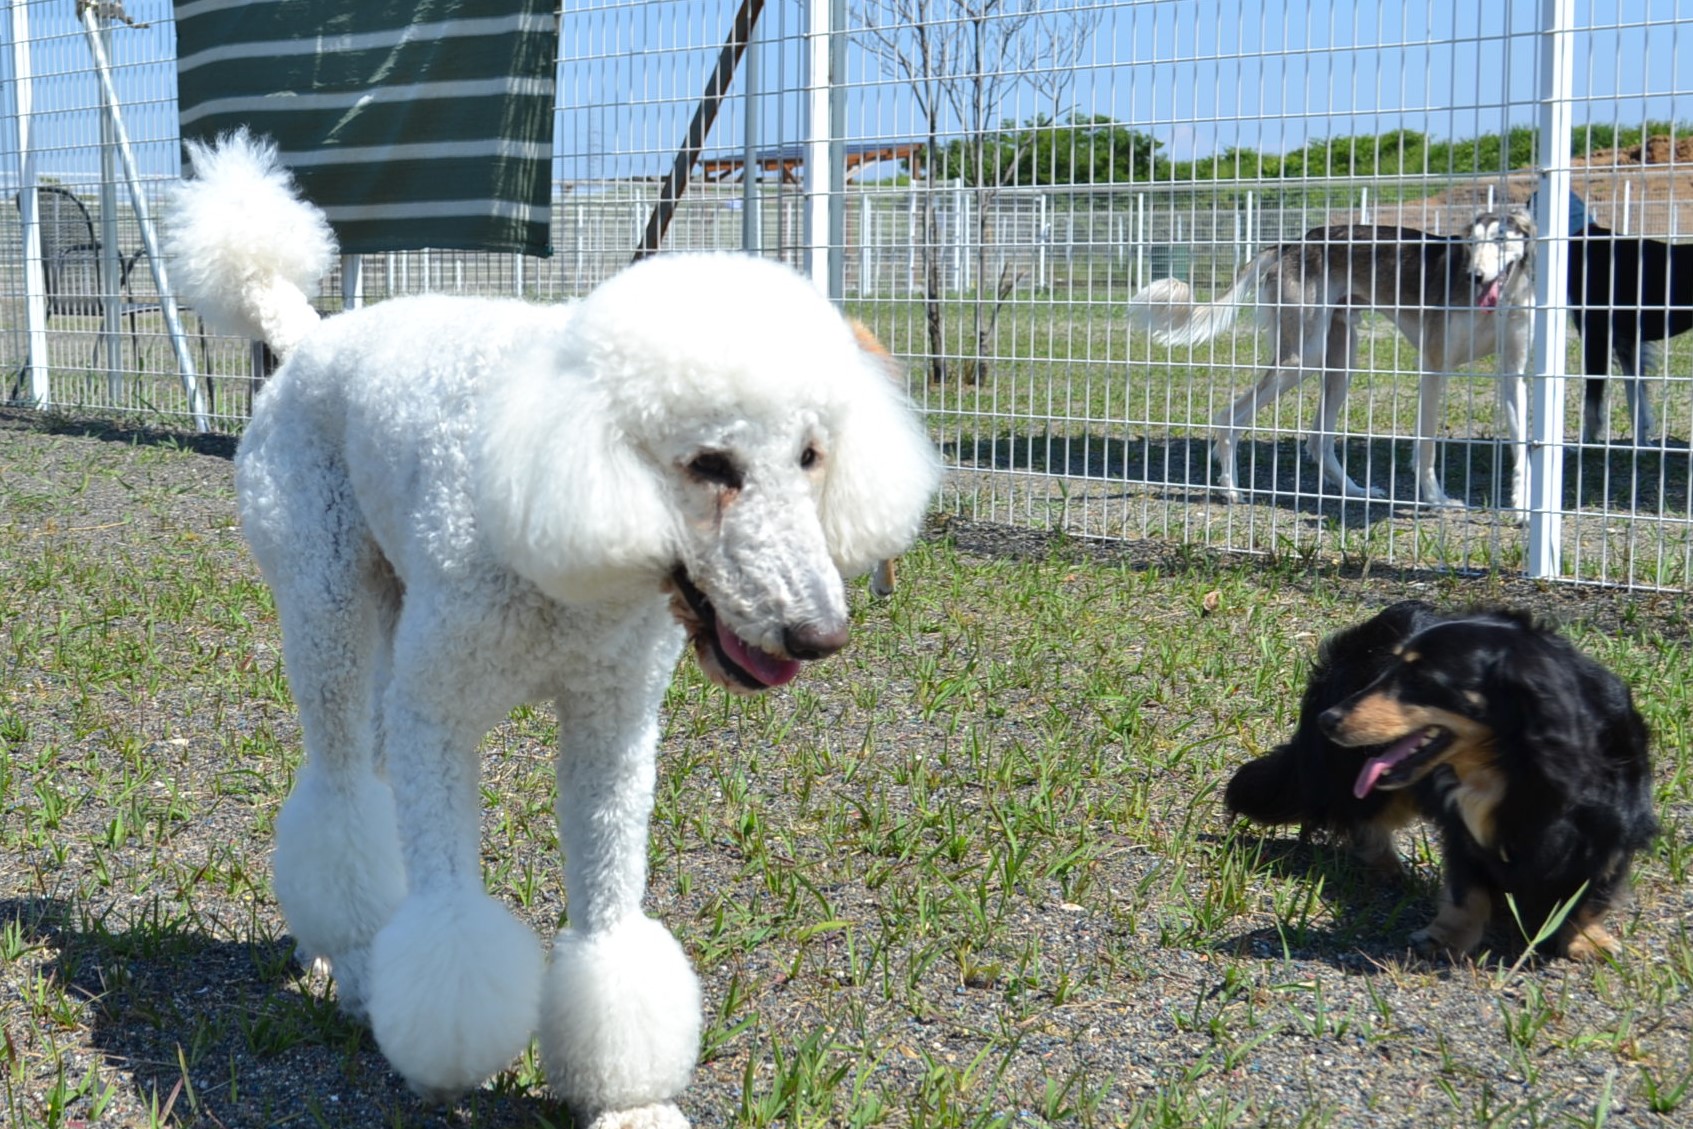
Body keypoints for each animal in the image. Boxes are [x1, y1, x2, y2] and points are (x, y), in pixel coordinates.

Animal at [1137, 209, 1537, 511]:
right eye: (1472, 243)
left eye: (1501, 240)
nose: (1475, 275)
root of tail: (1292, 244)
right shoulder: (1433, 367)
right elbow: (1426, 447)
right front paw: (1437, 500)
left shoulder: (1513, 374)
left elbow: (1522, 443)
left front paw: (1524, 505)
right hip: (1304, 357)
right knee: (1230, 418)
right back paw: (1231, 489)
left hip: (1341, 359)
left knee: (1319, 441)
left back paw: (1354, 491)